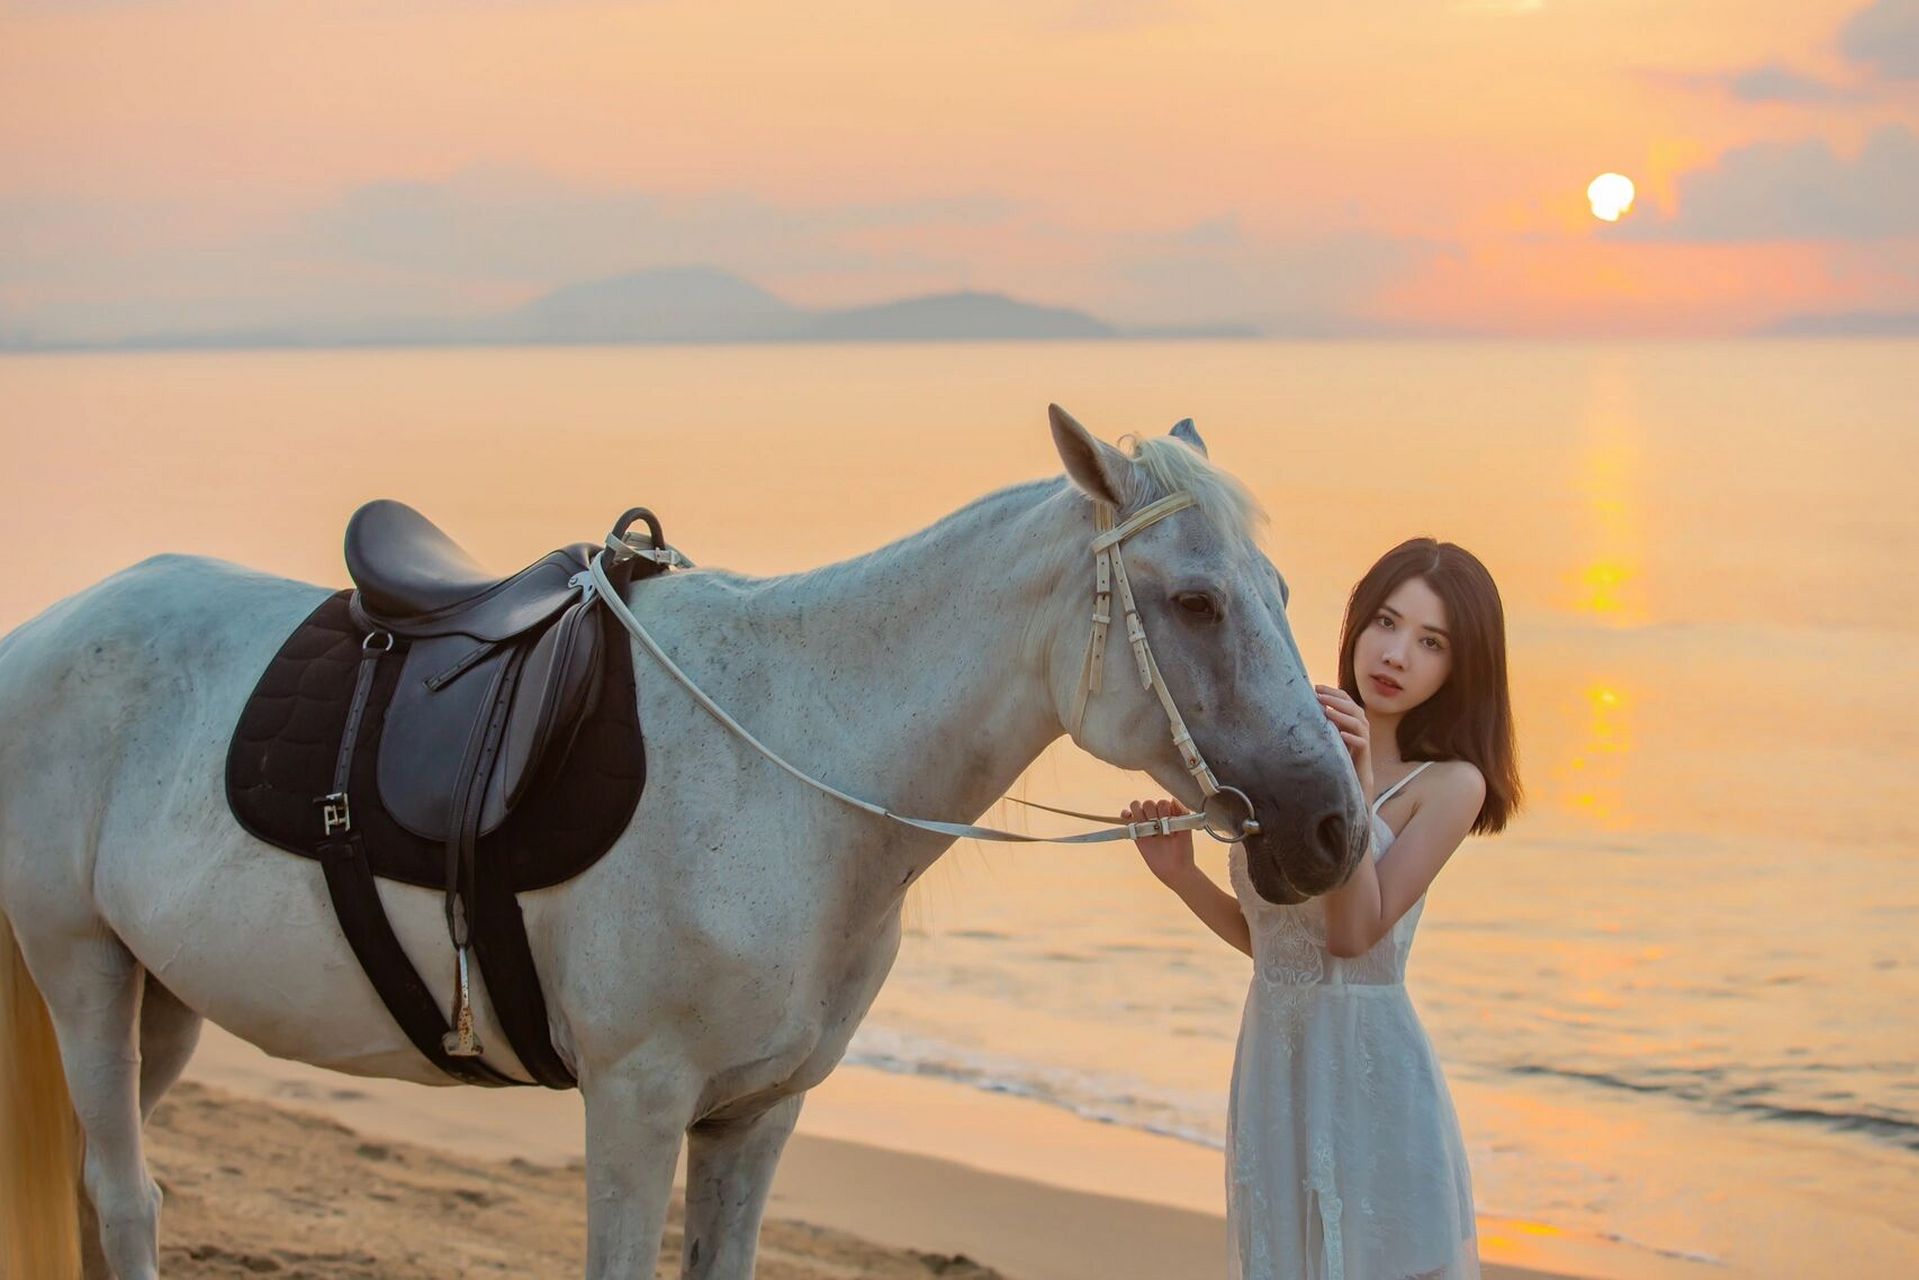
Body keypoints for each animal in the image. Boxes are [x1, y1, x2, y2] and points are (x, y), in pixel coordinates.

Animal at [0, 406, 1368, 1279]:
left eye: (1281, 593)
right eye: (1194, 600)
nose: (1332, 826)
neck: (795, 765)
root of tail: (45, 627)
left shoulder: (754, 1115)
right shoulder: (636, 1101)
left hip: (163, 1003)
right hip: (81, 971)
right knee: (124, 1198)